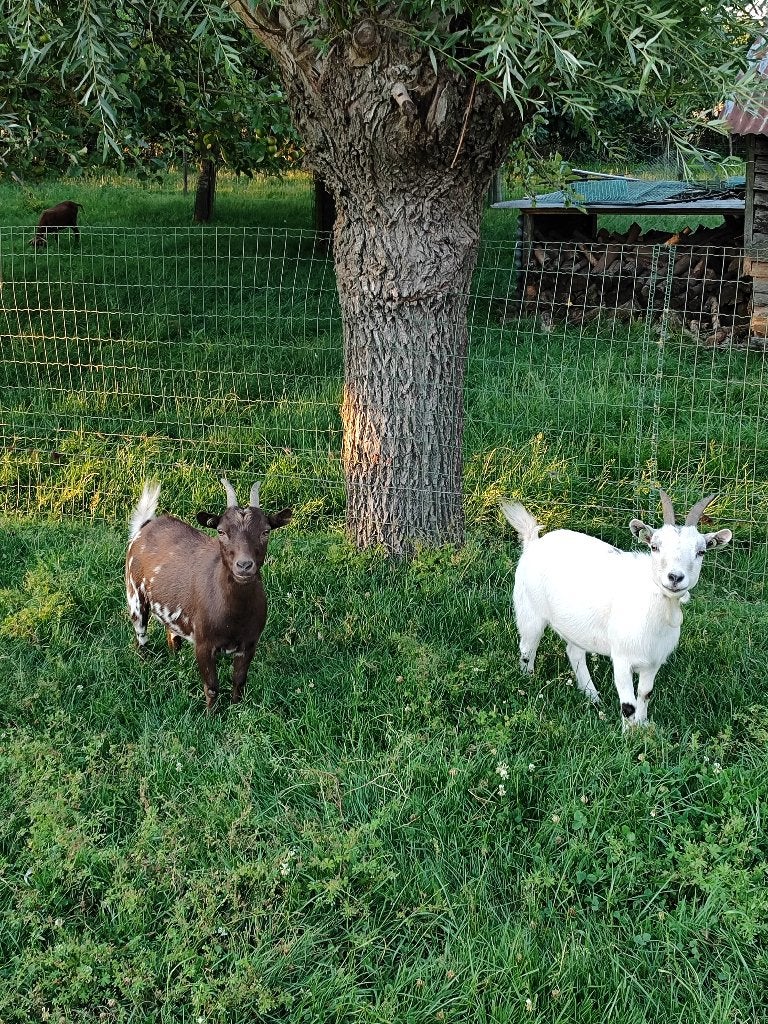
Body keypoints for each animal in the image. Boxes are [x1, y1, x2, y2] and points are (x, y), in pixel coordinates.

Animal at [126, 478, 292, 711]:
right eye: (221, 531)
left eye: (266, 531)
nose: (244, 565)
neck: (234, 615)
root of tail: (146, 525)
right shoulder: (204, 644)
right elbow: (212, 686)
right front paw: (211, 715)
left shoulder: (250, 643)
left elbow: (239, 681)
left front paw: (236, 709)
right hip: (135, 594)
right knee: (141, 634)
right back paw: (145, 664)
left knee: (171, 634)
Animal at [501, 491, 732, 727]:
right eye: (654, 546)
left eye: (701, 551)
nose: (675, 577)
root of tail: (533, 541)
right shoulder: (622, 658)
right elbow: (628, 704)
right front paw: (628, 733)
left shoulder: (653, 662)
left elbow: (645, 694)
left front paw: (643, 726)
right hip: (530, 609)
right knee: (527, 647)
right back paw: (528, 682)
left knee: (574, 652)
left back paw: (592, 696)